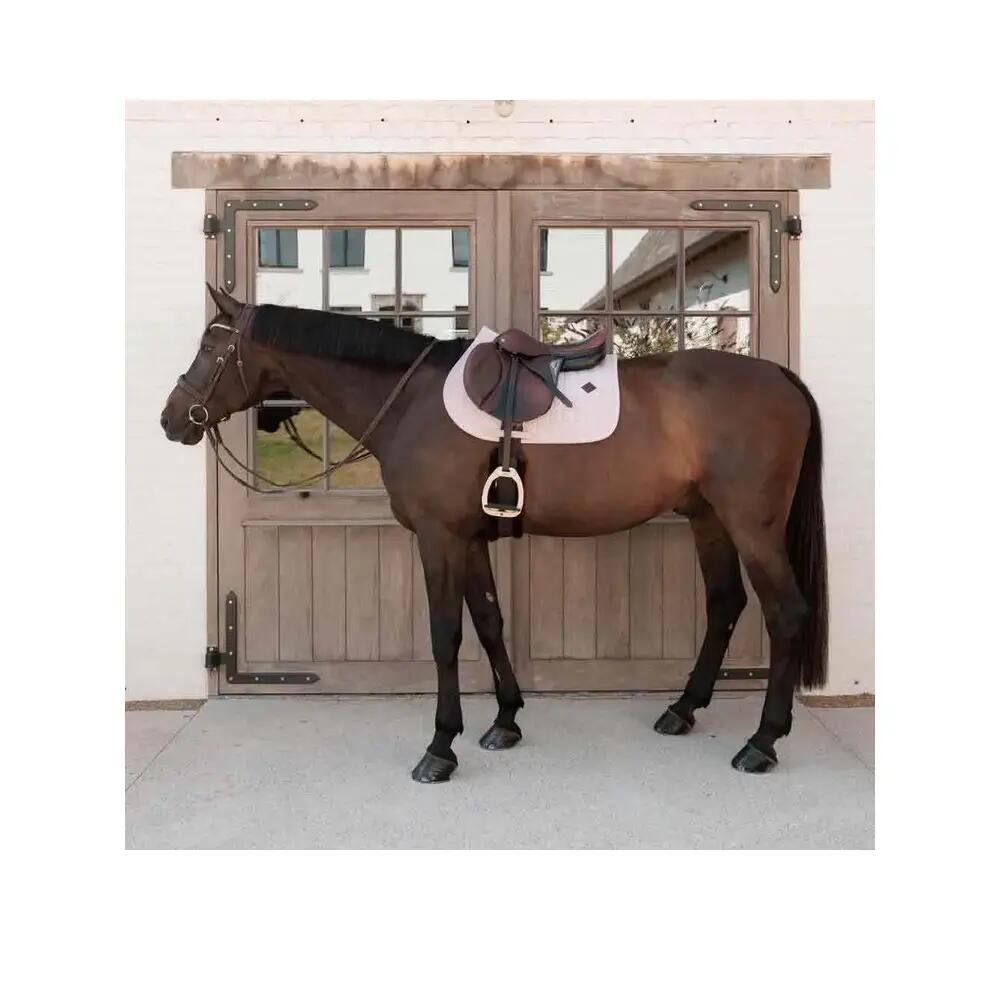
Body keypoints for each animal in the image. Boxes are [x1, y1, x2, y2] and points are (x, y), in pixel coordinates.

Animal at [160, 285, 828, 783]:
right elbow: (487, 620)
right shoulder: (471, 538)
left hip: (752, 526)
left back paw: (762, 742)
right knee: (725, 605)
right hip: (708, 517)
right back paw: (683, 710)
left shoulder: (438, 537)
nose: (172, 419)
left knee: (786, 613)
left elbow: (446, 635)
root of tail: (783, 379)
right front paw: (505, 721)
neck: (413, 401)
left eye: (210, 346)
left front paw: (440, 747)